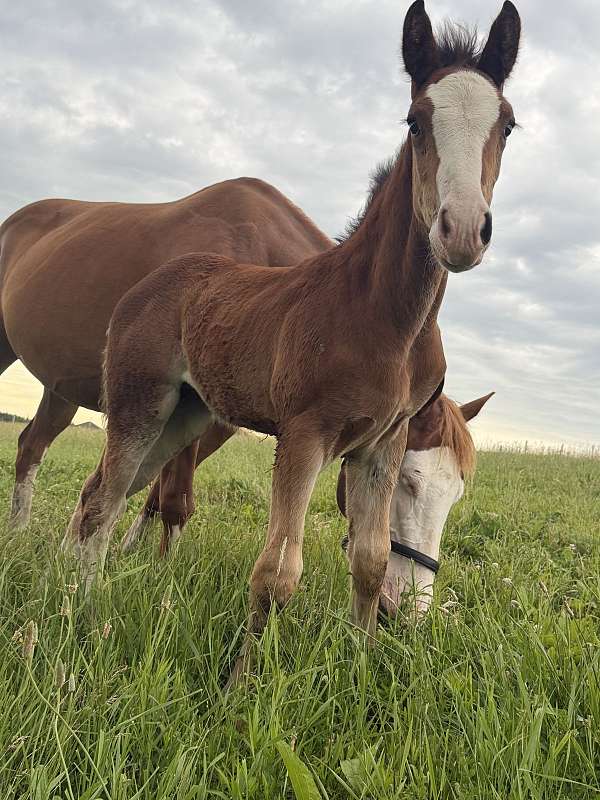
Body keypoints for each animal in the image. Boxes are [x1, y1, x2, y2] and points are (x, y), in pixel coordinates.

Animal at [66, 0, 521, 682]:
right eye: (416, 121)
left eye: (508, 125)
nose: (462, 231)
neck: (385, 318)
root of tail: (144, 286)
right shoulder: (305, 435)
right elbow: (278, 572)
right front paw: (240, 684)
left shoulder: (379, 444)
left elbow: (369, 561)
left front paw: (360, 670)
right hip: (139, 403)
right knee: (103, 499)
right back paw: (79, 611)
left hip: (184, 415)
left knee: (105, 494)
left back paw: (72, 595)